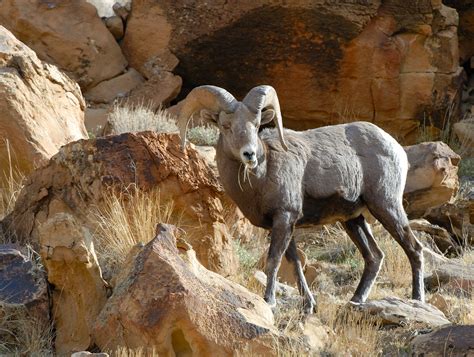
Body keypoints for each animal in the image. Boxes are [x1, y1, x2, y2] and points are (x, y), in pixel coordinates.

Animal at [179, 85, 426, 312]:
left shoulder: (284, 218)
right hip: (352, 220)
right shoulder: (283, 225)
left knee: (414, 249)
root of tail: (396, 148)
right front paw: (309, 306)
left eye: (257, 125)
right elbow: (295, 264)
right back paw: (356, 300)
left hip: (386, 206)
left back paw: (417, 299)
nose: (249, 154)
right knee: (374, 256)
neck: (262, 176)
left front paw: (269, 301)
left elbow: (274, 261)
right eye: (226, 126)